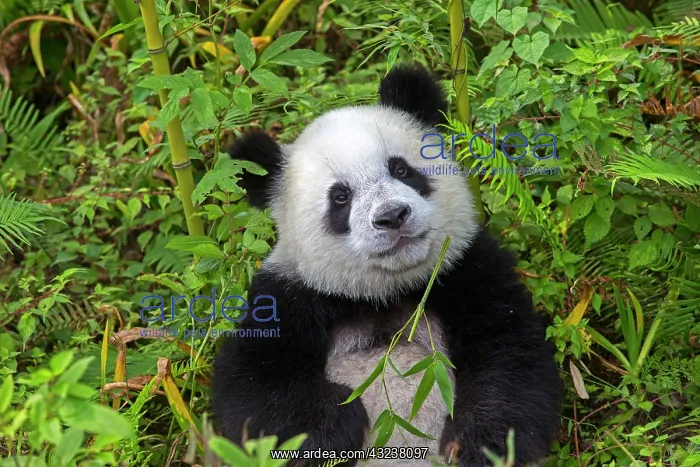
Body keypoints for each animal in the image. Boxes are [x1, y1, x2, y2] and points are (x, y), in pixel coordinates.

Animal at [212, 64, 562, 467]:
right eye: (340, 197)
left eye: (401, 169)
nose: (392, 216)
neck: (386, 291)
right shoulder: (289, 295)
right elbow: (254, 391)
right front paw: (336, 426)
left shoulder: (466, 268)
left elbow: (510, 355)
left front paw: (477, 444)